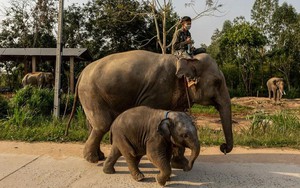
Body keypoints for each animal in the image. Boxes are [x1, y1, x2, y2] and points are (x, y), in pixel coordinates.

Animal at [67, 49, 233, 170]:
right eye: (217, 82)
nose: (223, 148)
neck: (185, 59)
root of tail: (82, 73)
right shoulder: (157, 91)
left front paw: (179, 164)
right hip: (91, 93)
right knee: (102, 125)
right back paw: (92, 159)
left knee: (94, 125)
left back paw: (99, 157)